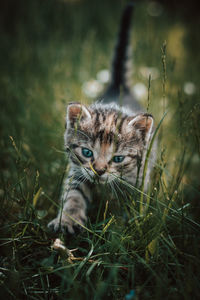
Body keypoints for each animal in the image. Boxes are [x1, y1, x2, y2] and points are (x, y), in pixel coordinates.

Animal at [47, 3, 155, 236]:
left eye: (118, 158)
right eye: (87, 153)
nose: (99, 170)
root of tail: (118, 86)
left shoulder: (139, 178)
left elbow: (133, 204)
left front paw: (128, 227)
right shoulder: (77, 171)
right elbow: (73, 195)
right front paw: (67, 220)